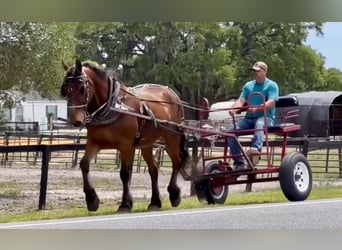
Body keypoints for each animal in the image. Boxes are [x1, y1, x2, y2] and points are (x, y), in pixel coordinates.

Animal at [60, 59, 191, 212]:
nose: (76, 121)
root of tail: (172, 94)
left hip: (171, 137)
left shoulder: (126, 145)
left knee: (177, 162)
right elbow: (84, 164)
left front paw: (125, 204)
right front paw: (92, 199)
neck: (112, 107)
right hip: (147, 143)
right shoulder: (95, 142)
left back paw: (174, 194)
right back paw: (155, 202)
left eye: (82, 88)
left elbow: (125, 173)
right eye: (65, 89)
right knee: (153, 169)